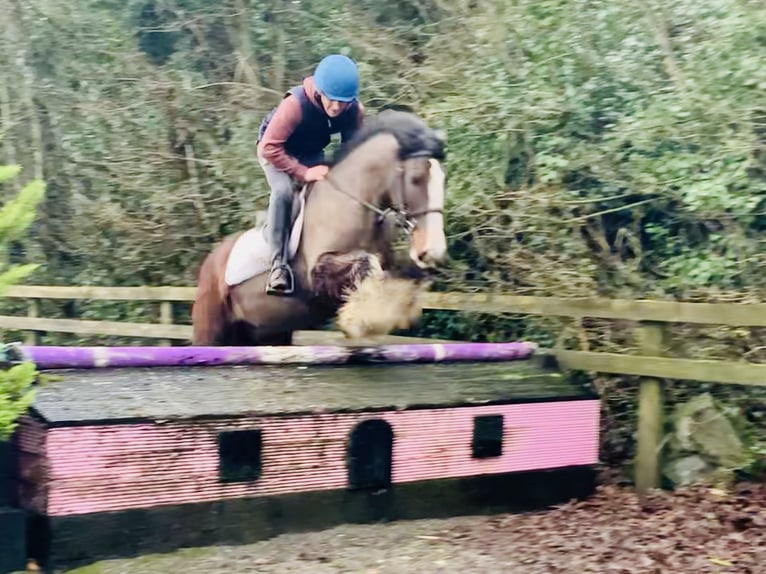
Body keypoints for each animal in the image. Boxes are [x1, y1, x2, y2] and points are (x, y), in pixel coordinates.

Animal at [190, 110, 450, 348]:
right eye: (416, 178)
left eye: (443, 179)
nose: (433, 251)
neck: (353, 201)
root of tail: (210, 262)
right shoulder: (318, 272)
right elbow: (368, 263)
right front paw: (358, 318)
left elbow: (403, 275)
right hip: (211, 330)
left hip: (268, 333)